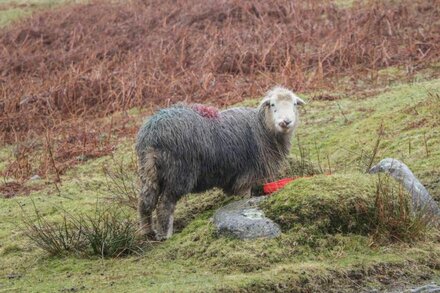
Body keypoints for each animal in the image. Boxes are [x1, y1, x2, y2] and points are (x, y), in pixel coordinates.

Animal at [136, 85, 304, 238]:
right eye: (272, 104)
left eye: (294, 104)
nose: (286, 121)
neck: (263, 128)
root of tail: (153, 133)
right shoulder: (246, 177)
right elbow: (244, 198)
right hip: (178, 172)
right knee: (165, 205)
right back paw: (166, 236)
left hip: (149, 171)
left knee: (145, 202)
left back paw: (147, 232)